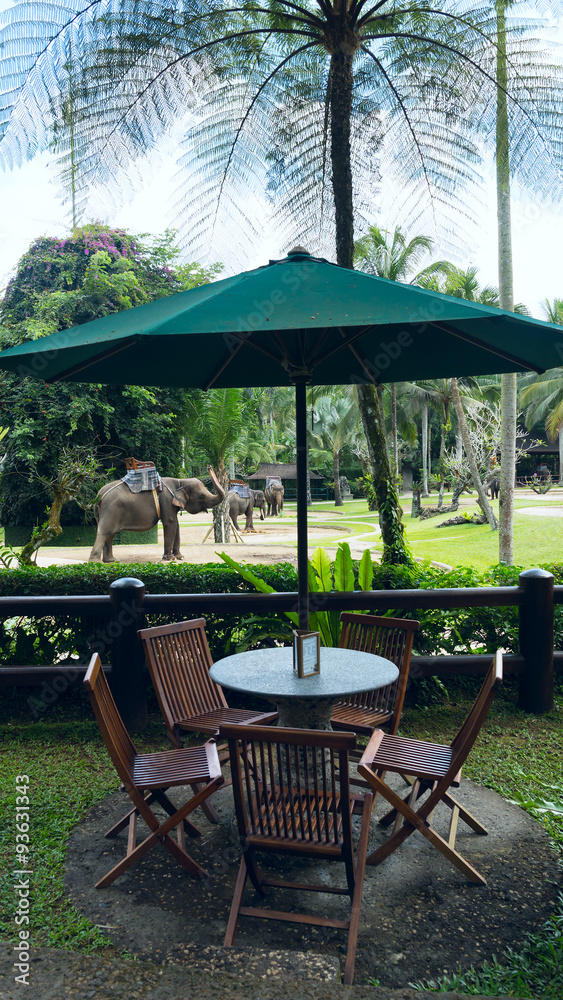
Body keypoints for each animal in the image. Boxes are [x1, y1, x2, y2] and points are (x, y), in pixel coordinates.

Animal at [88, 466, 225, 564]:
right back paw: (95, 562)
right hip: (111, 509)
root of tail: (100, 494)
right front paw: (169, 559)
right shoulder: (166, 500)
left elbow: (177, 525)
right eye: (201, 496)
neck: (180, 481)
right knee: (105, 532)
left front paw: (180, 557)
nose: (209, 467)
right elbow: (170, 523)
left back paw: (111, 561)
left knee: (110, 534)